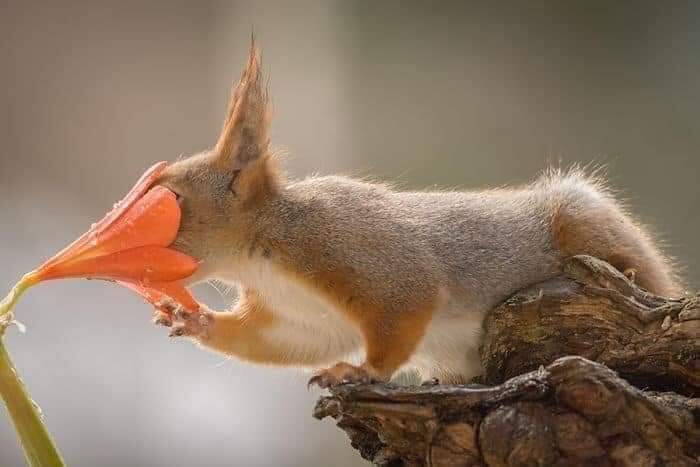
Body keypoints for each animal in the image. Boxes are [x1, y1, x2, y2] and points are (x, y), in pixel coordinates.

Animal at [150, 44, 680, 388]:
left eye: (172, 199)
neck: (261, 252)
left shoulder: (355, 249)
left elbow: (405, 307)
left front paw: (363, 371)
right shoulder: (298, 317)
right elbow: (280, 342)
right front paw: (194, 320)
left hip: (582, 223)